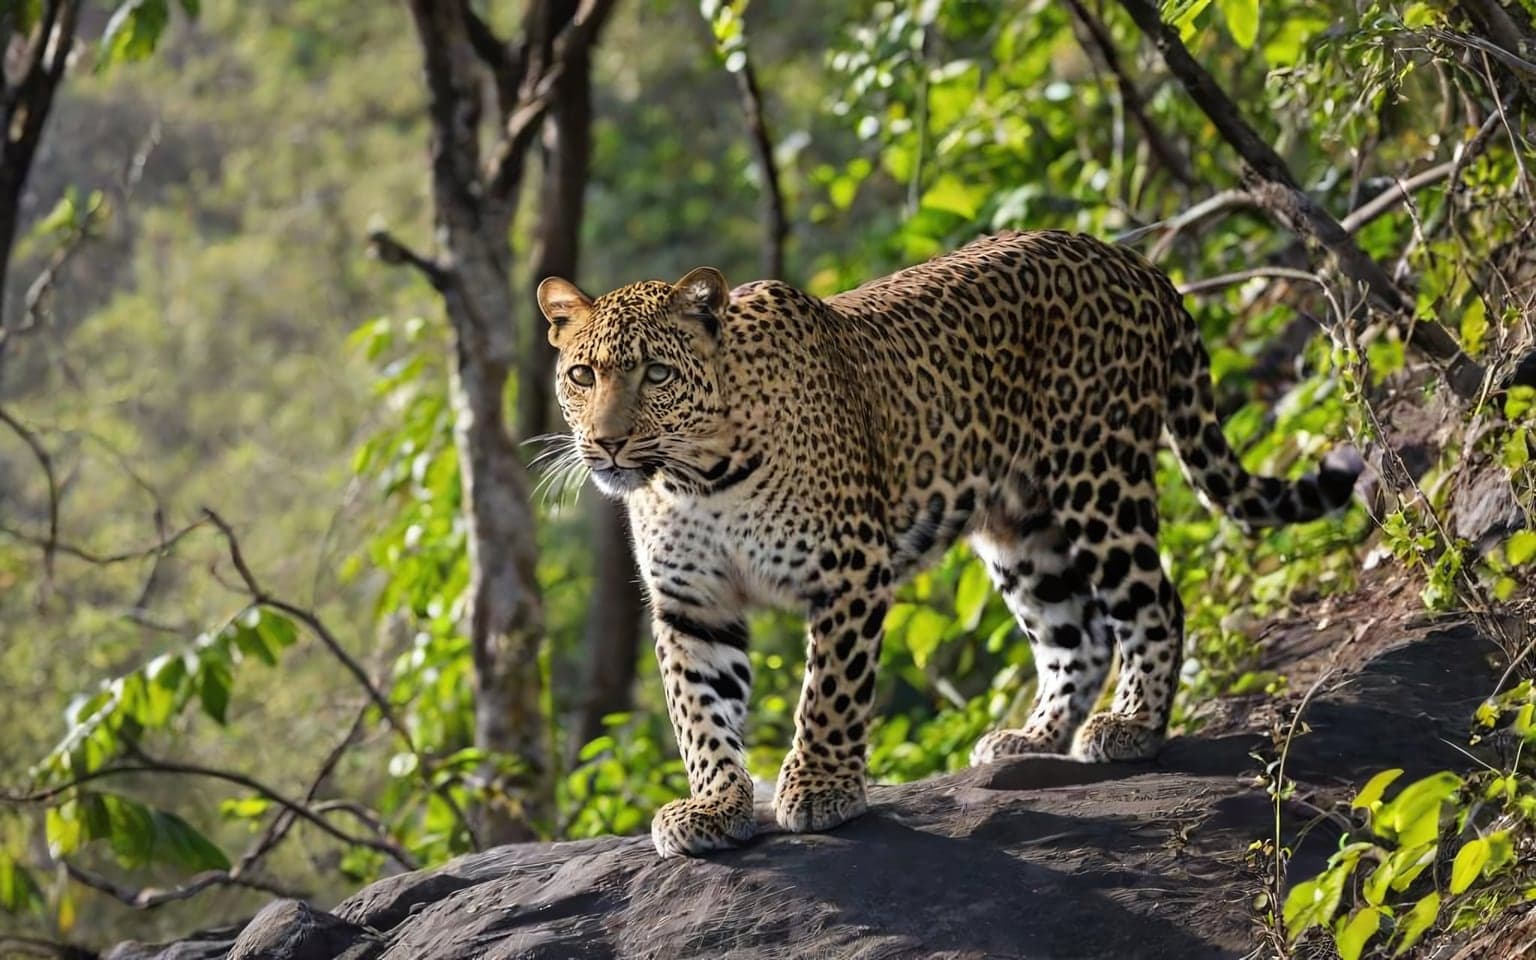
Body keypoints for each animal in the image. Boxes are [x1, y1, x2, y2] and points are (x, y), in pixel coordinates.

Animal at [537, 230, 1359, 858]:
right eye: (581, 374)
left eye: (657, 373)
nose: (606, 443)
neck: (695, 477)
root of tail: (1130, 259)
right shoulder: (692, 605)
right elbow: (700, 715)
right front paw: (713, 808)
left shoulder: (850, 571)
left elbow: (828, 694)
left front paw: (820, 790)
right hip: (1021, 526)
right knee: (1075, 633)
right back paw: (1033, 739)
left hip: (1098, 476)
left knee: (1154, 600)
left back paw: (1130, 728)